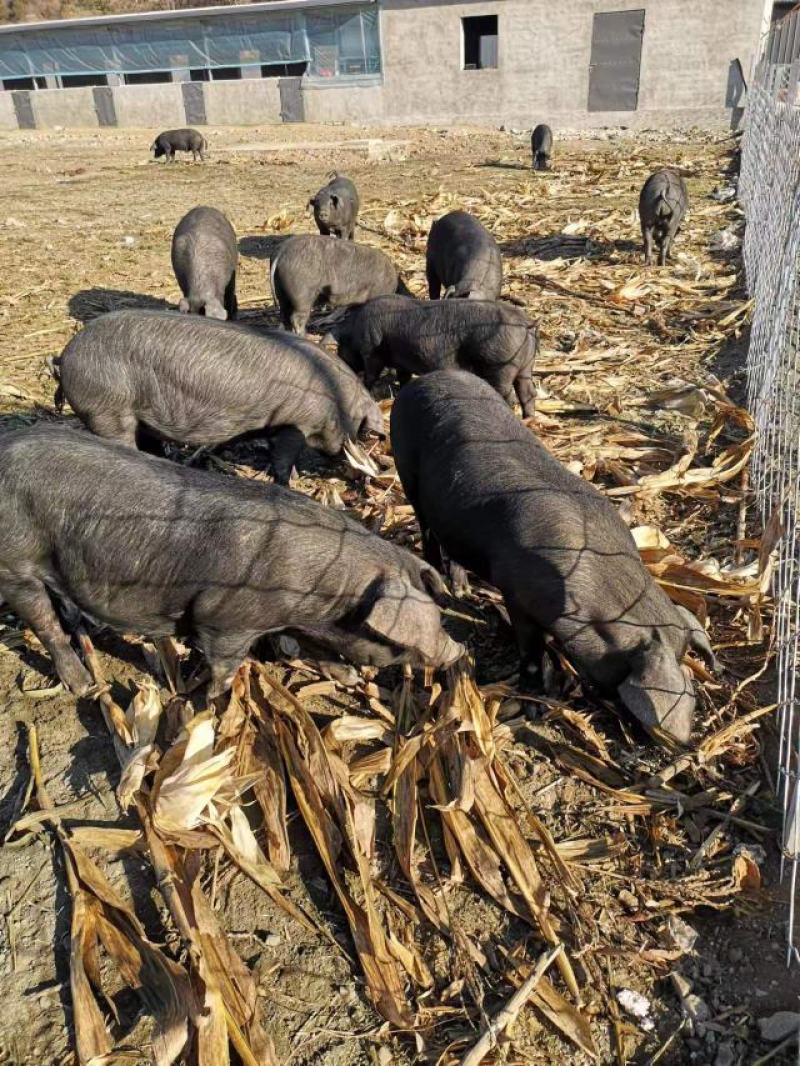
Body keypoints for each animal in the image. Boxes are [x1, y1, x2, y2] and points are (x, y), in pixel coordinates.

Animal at [0, 424, 462, 699]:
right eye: (395, 642)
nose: (455, 651)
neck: (324, 593)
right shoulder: (225, 620)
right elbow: (225, 663)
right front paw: (213, 701)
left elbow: (308, 646)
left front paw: (344, 677)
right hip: (15, 564)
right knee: (45, 624)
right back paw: (83, 688)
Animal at [53, 309, 386, 483]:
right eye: (362, 430)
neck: (335, 397)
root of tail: (65, 355)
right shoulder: (295, 422)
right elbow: (282, 459)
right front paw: (290, 481)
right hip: (106, 411)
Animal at [332, 294, 539, 413]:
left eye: (340, 346)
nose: (340, 357)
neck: (355, 330)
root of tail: (526, 323)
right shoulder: (402, 362)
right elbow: (403, 377)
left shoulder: (372, 351)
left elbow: (371, 374)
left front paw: (367, 389)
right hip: (525, 367)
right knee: (528, 393)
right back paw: (528, 418)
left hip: (500, 366)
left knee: (509, 395)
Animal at [394, 370, 721, 746]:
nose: (648, 739)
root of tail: (422, 381)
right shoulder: (516, 593)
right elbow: (530, 652)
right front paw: (534, 706)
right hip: (406, 471)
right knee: (427, 530)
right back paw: (447, 592)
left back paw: (461, 587)